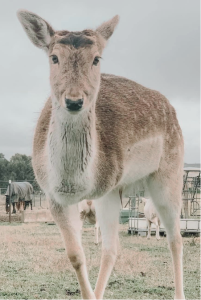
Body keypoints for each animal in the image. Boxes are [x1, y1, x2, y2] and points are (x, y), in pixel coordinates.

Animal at [17, 9, 185, 300]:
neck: (75, 183)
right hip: (117, 191)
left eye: (96, 59)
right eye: (54, 57)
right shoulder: (54, 196)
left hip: (168, 174)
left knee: (175, 238)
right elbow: (75, 255)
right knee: (112, 249)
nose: (74, 101)